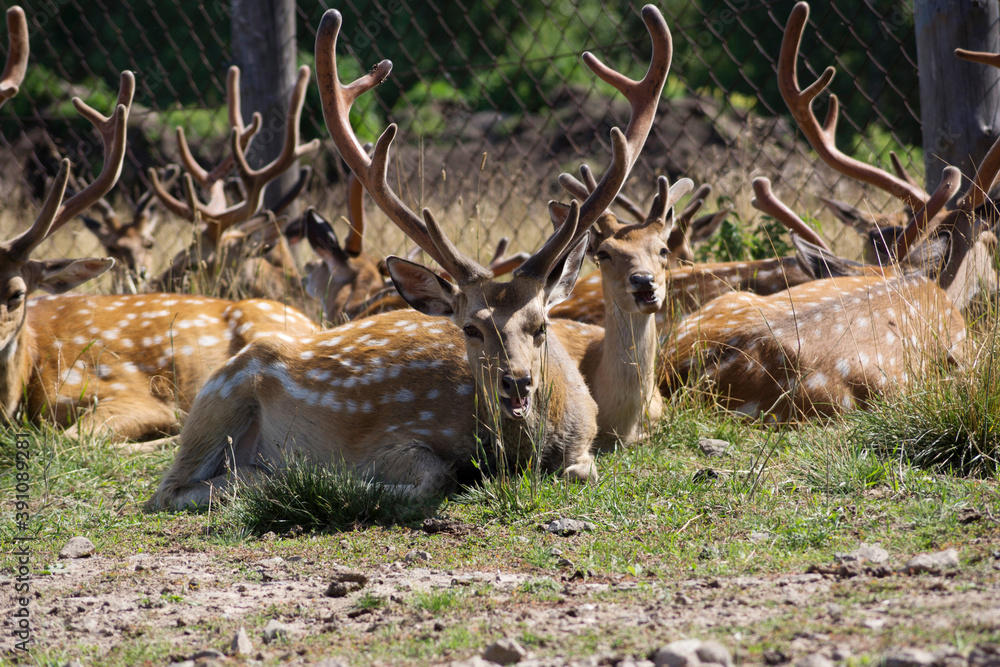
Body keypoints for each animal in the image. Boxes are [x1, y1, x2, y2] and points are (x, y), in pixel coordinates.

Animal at [658, 1, 1000, 419]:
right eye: (988, 242)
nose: (995, 288)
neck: (932, 282)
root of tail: (682, 375)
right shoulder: (966, 352)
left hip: (723, 303)